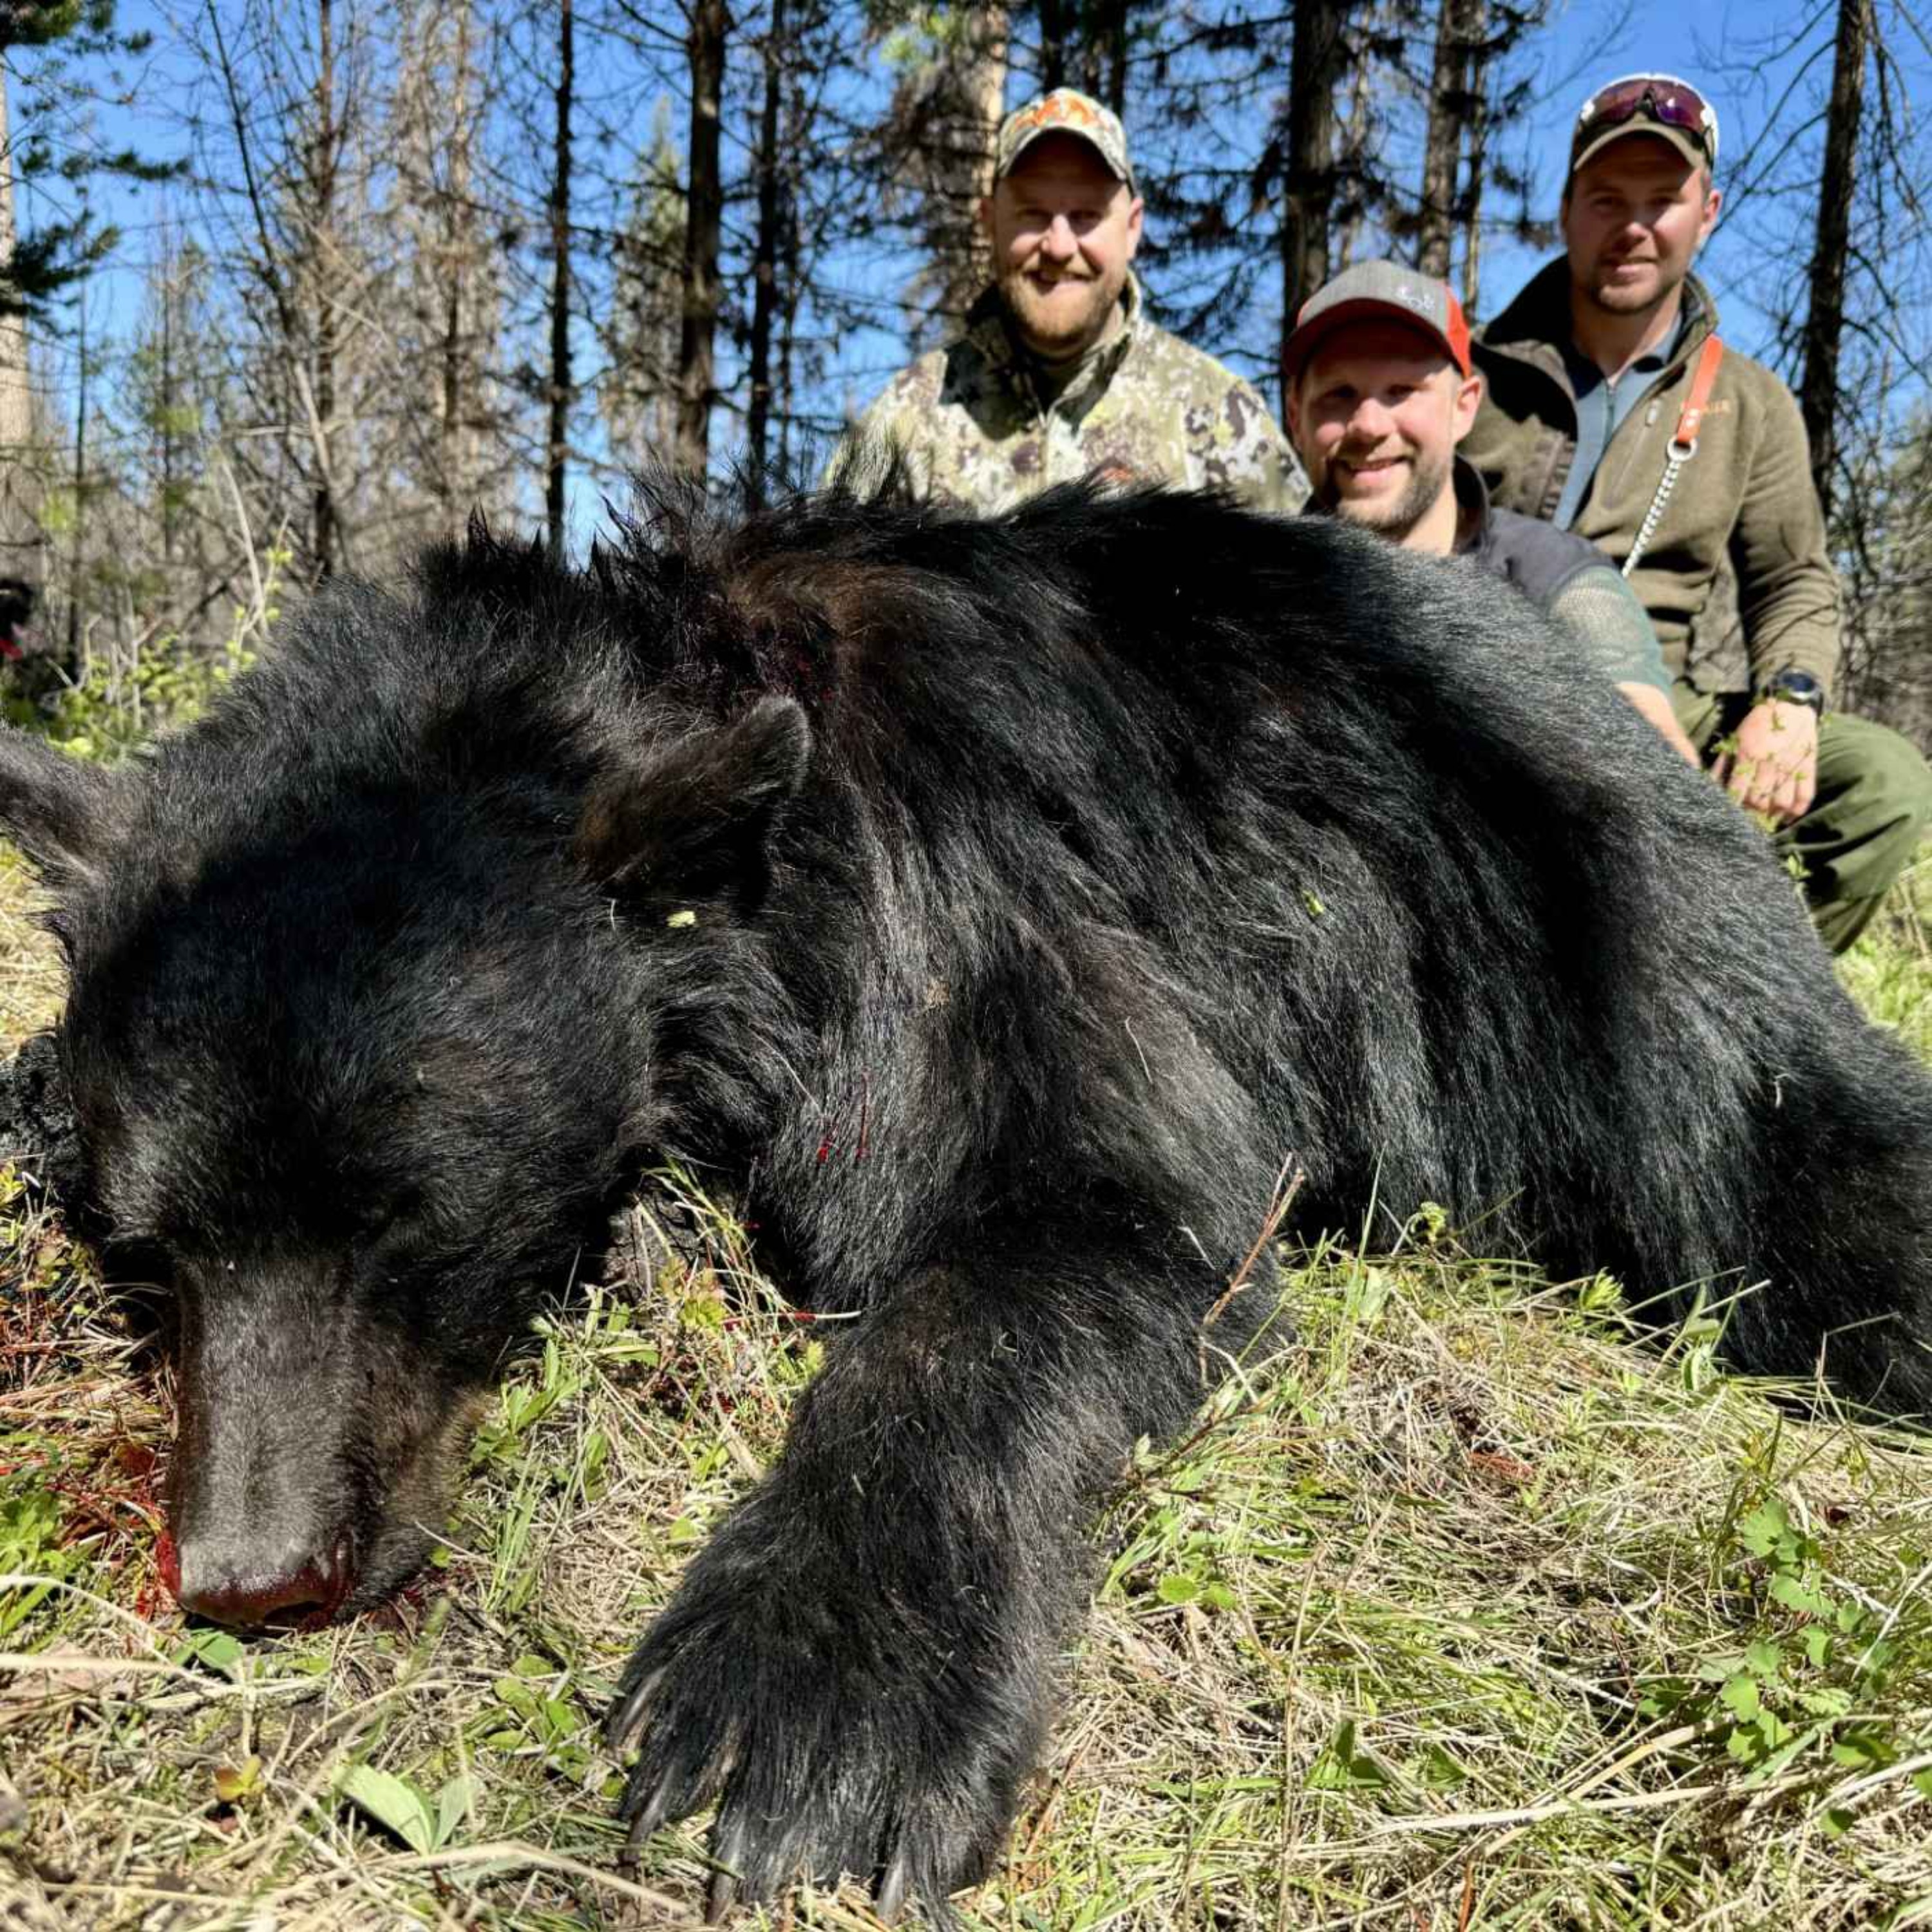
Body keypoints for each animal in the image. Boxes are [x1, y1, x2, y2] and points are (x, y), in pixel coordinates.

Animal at [3, 479, 1932, 1917]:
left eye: (412, 1225)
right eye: (150, 1246)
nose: (250, 1577)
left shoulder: (960, 910)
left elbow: (1076, 1221)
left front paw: (803, 1708)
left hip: (1575, 886)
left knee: (1770, 1130)